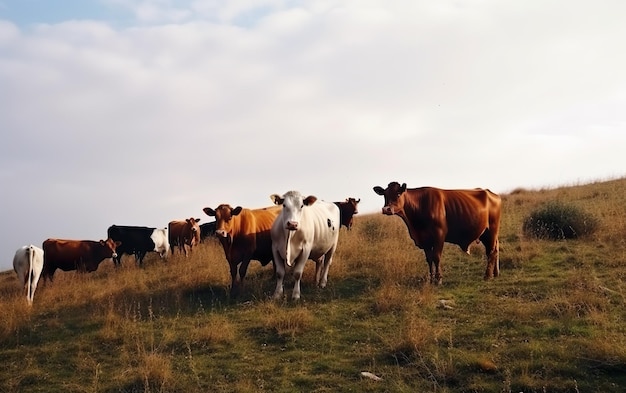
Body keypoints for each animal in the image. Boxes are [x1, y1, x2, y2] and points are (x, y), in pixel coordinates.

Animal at [370, 182, 502, 284]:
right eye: (385, 195)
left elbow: (436, 257)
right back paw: (495, 273)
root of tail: (491, 193)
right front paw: (431, 279)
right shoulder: (425, 240)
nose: (386, 209)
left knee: (491, 251)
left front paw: (438, 280)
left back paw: (487, 276)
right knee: (496, 249)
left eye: (398, 194)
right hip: (485, 233)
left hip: (491, 230)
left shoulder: (439, 234)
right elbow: (429, 259)